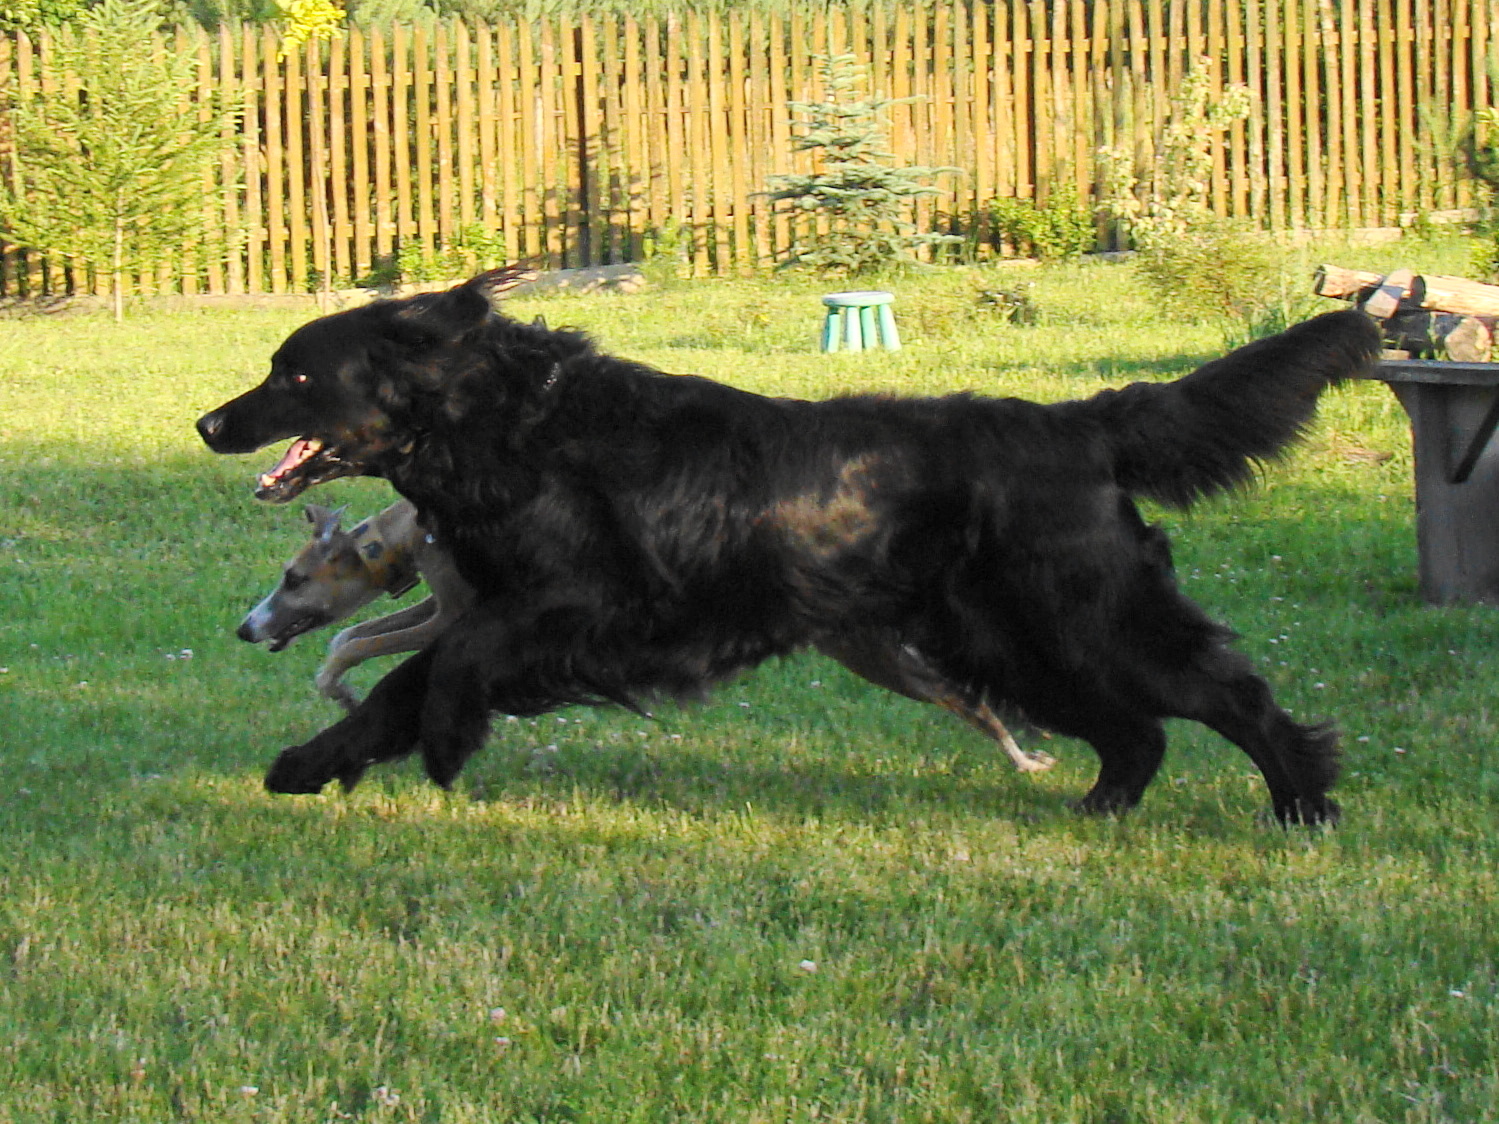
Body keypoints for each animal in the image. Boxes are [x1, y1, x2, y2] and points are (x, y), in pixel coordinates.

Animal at [244, 499, 1056, 770]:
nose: (245, 629)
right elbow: (351, 639)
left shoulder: (452, 616)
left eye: (291, 577)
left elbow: (350, 641)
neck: (411, 533)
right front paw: (342, 693)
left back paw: (1026, 759)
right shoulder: (443, 611)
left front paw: (339, 689)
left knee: (976, 702)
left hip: (881, 659)